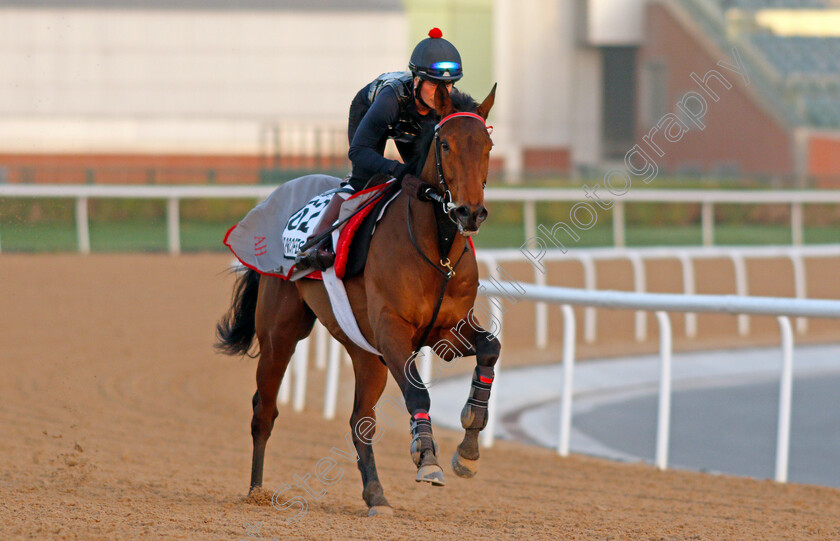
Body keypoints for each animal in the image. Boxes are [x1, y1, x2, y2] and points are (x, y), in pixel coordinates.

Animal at [217, 83, 502, 516]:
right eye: (446, 144)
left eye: (487, 146)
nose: (471, 213)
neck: (437, 251)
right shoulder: (392, 332)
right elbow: (418, 392)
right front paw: (427, 457)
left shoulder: (447, 332)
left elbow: (490, 349)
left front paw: (468, 448)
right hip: (281, 335)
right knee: (264, 409)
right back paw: (256, 491)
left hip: (366, 354)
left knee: (359, 421)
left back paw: (376, 494)